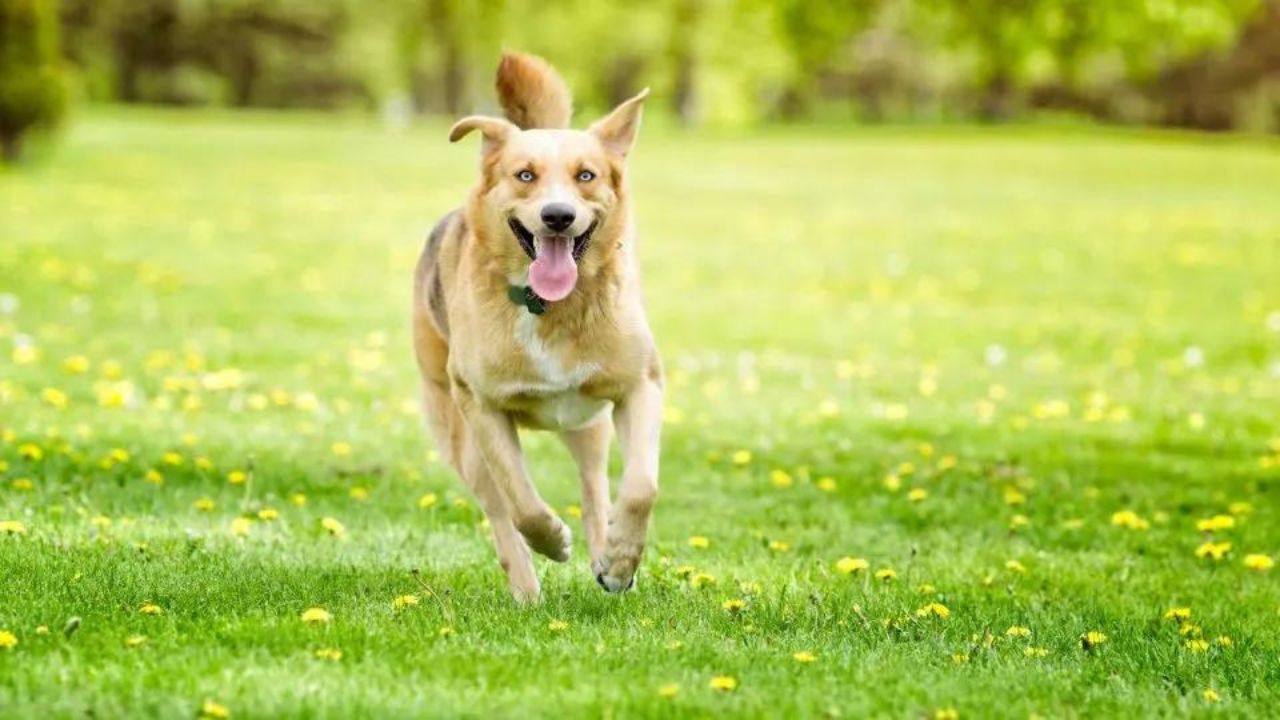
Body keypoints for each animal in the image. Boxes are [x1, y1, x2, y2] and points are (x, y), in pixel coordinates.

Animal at [414, 51, 665, 599]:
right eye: (525, 176)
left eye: (587, 176)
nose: (557, 216)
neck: (549, 307)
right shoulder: (482, 406)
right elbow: (522, 502)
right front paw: (552, 540)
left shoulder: (641, 385)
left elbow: (640, 488)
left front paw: (621, 562)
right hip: (462, 441)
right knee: (499, 513)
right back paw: (528, 591)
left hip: (589, 427)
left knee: (595, 491)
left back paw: (605, 556)